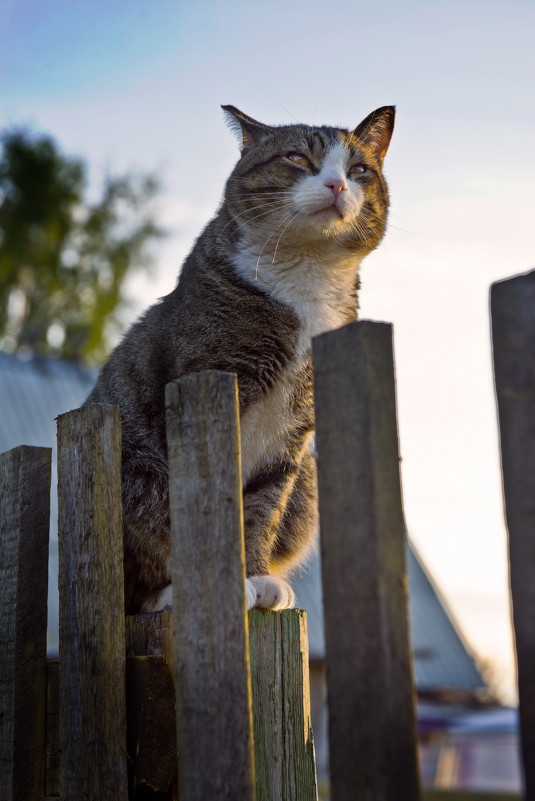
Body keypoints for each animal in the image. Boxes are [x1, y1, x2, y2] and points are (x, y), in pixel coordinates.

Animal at [84, 104, 394, 612]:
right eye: (297, 157)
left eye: (358, 170)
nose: (337, 185)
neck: (305, 278)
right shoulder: (207, 385)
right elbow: (200, 500)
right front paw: (219, 581)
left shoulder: (291, 434)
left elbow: (263, 504)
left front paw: (256, 576)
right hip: (137, 469)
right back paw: (166, 593)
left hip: (308, 482)